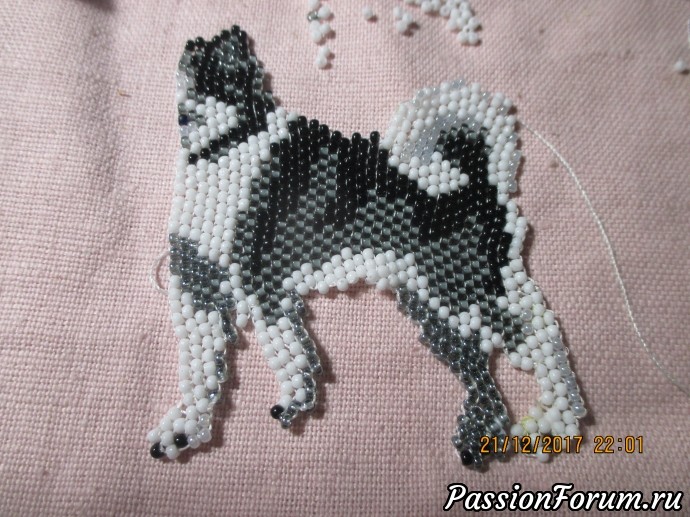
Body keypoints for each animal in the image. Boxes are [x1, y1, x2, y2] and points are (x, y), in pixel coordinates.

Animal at [147, 26, 585, 468]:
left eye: (223, 64)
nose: (203, 45)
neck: (227, 140)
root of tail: (479, 182)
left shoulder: (261, 286)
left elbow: (285, 351)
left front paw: (296, 399)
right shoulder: (200, 293)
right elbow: (202, 376)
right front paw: (184, 429)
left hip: (464, 296)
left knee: (538, 331)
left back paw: (554, 414)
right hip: (435, 310)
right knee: (490, 372)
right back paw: (481, 435)